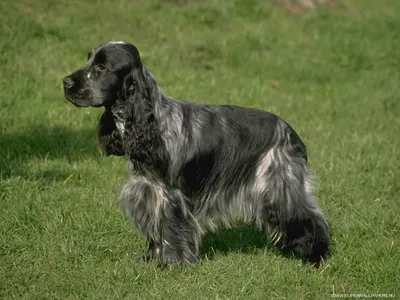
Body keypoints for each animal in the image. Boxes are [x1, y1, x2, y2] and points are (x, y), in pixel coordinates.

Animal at [62, 40, 330, 264]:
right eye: (88, 59)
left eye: (101, 67)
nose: (65, 82)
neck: (153, 122)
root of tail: (291, 132)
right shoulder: (148, 191)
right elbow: (156, 229)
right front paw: (150, 259)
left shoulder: (171, 195)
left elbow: (171, 229)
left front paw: (172, 263)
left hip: (279, 185)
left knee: (311, 218)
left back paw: (317, 257)